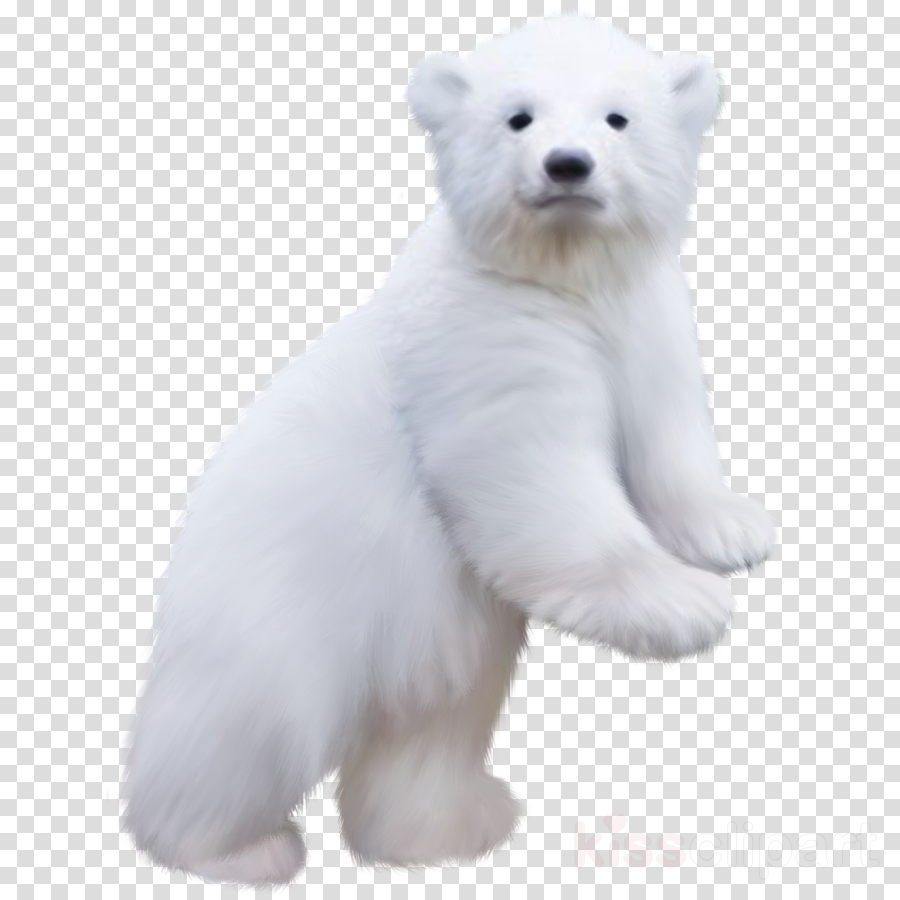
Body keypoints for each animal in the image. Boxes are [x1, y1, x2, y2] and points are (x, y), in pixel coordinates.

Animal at [118, 9, 780, 889]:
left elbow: (665, 432)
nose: (567, 166)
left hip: (431, 633)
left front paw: (735, 528)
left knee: (430, 731)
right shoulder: (484, 335)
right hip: (278, 605)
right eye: (519, 116)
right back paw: (232, 850)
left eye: (617, 117)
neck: (562, 276)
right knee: (243, 724)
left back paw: (453, 828)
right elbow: (540, 475)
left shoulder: (643, 317)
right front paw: (685, 605)